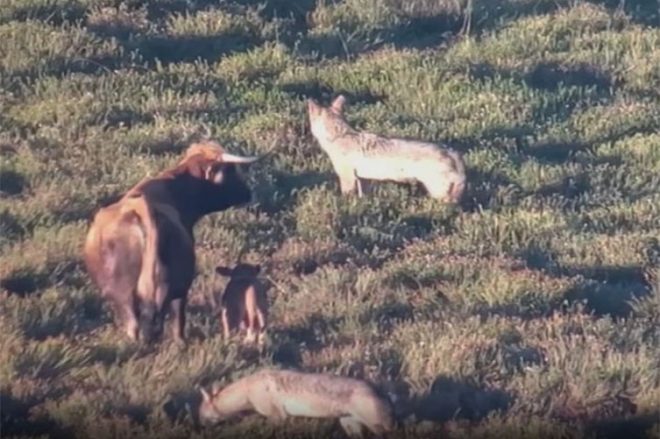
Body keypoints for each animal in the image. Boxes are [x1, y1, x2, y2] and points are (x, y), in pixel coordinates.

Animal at [197, 370, 398, 438]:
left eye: (200, 414)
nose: (199, 425)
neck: (247, 390)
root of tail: (381, 391)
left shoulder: (278, 417)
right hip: (349, 425)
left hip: (377, 427)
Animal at [306, 95, 466, 205]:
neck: (340, 136)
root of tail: (452, 153)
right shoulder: (364, 179)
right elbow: (363, 196)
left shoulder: (348, 178)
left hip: (438, 193)